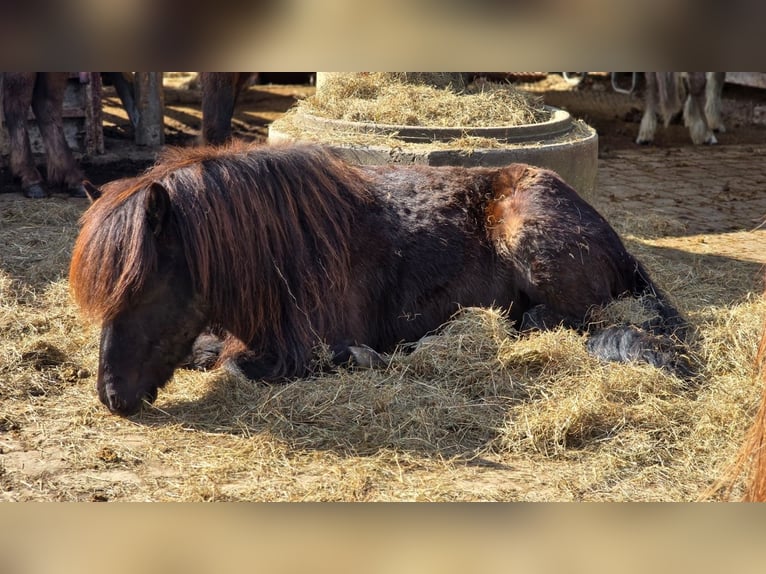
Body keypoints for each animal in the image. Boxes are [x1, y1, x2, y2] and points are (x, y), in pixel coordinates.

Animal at [69, 141, 692, 416]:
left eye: (142, 288)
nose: (111, 397)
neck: (288, 248)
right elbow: (209, 352)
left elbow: (242, 365)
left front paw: (365, 359)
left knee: (575, 319)